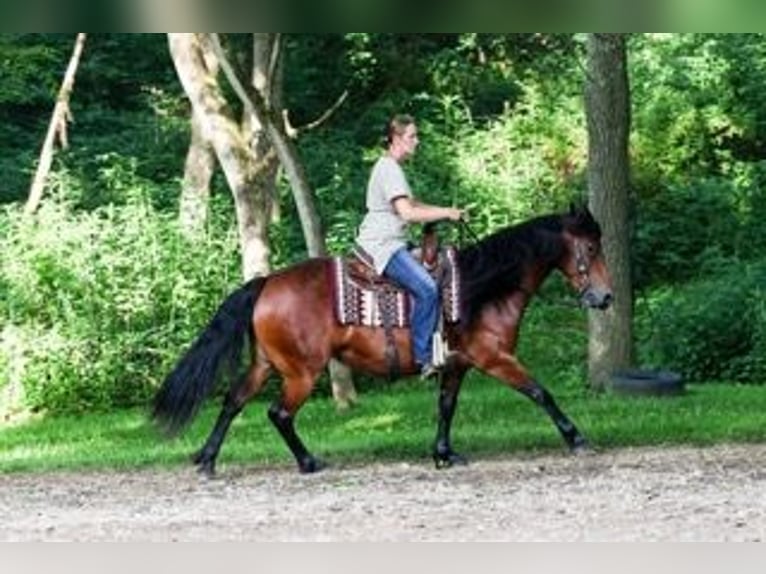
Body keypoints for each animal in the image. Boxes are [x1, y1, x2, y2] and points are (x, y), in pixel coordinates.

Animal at [152, 204, 613, 476]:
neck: (481, 288)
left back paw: (207, 460)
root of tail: (266, 283)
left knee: (234, 401)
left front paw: (443, 453)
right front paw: (577, 439)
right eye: (591, 248)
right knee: (278, 413)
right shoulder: (494, 357)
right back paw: (308, 461)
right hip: (301, 371)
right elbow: (540, 392)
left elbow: (446, 406)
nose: (605, 297)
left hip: (266, 363)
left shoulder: (458, 364)